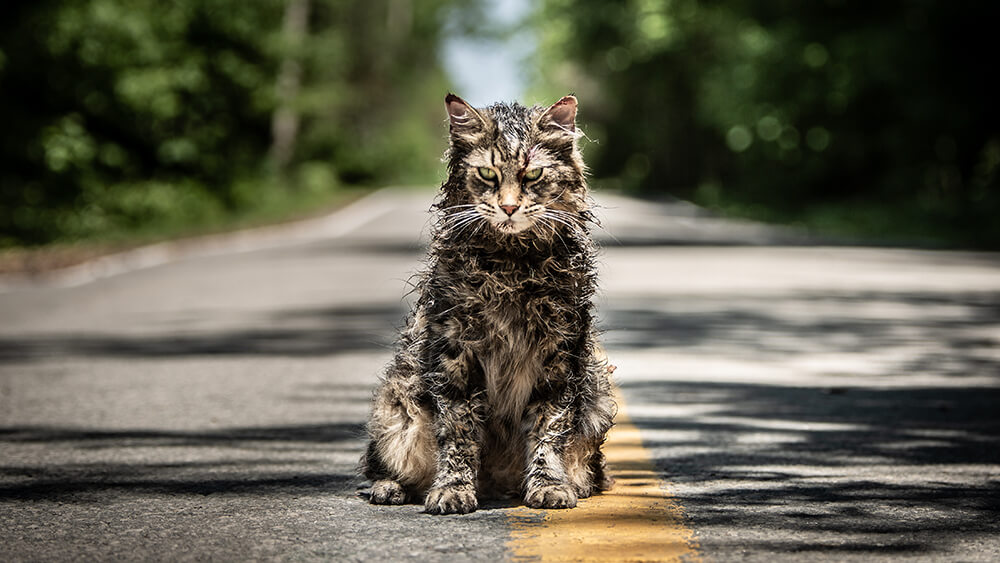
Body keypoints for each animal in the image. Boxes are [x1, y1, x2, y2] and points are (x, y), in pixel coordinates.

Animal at [356, 92, 612, 516]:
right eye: (488, 175)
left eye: (533, 175)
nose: (508, 208)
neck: (511, 265)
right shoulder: (455, 354)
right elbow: (458, 432)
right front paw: (453, 490)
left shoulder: (560, 355)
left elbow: (548, 429)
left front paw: (548, 485)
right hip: (397, 403)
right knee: (381, 465)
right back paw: (389, 488)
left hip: (597, 396)